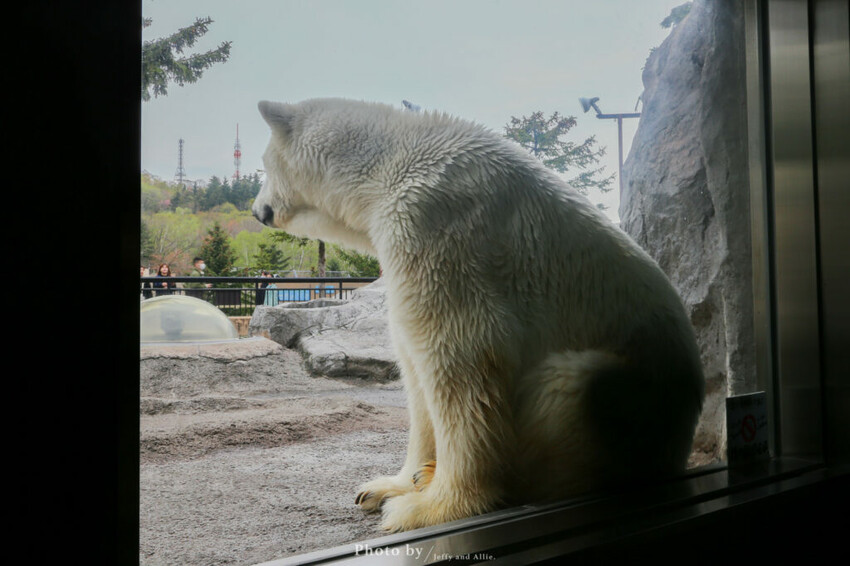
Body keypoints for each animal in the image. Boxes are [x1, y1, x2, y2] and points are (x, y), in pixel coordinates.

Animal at [252, 97, 705, 533]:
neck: (388, 167)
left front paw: (427, 508)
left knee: (573, 384)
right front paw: (388, 485)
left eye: (265, 165)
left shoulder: (439, 228)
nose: (258, 211)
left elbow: (463, 363)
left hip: (635, 398)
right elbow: (415, 368)